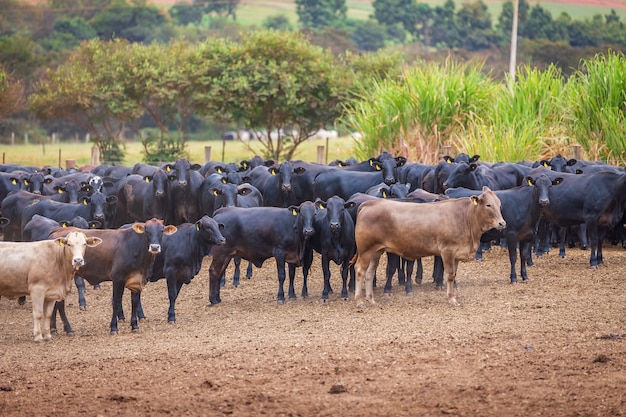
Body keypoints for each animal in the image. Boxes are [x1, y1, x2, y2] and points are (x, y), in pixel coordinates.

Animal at [354, 185, 504, 306]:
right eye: (488, 205)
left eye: (499, 204)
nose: (502, 223)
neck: (465, 217)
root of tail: (369, 203)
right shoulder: (447, 250)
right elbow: (450, 275)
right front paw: (452, 299)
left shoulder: (456, 253)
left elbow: (454, 274)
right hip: (365, 250)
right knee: (360, 270)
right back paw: (359, 301)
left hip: (376, 251)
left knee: (370, 272)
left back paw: (371, 299)